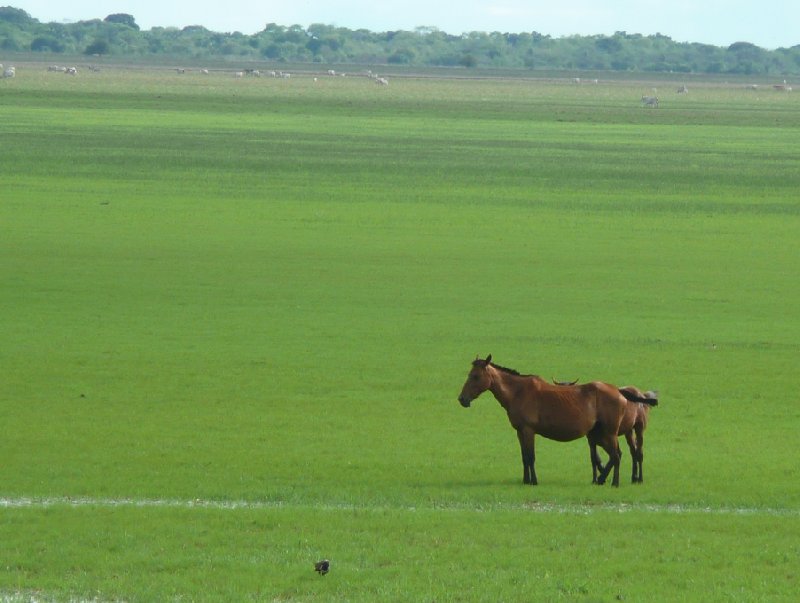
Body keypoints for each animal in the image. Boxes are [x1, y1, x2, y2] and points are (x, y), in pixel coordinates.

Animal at [456, 356, 656, 488]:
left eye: (475, 376)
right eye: (469, 374)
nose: (462, 399)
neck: (518, 392)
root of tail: (619, 391)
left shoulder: (528, 430)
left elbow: (531, 457)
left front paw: (533, 481)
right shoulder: (520, 431)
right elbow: (524, 457)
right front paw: (525, 480)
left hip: (609, 433)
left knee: (617, 455)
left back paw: (612, 481)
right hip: (602, 434)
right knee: (617, 455)